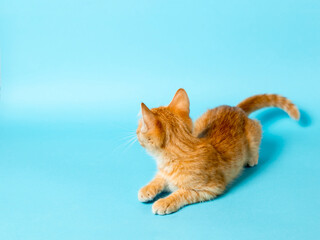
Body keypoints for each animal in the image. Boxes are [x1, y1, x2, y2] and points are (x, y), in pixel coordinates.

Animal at [136, 88, 300, 216]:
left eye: (138, 128)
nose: (135, 132)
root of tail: (235, 108)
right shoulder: (164, 173)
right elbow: (159, 178)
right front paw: (147, 189)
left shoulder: (212, 188)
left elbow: (184, 192)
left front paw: (165, 202)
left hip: (254, 133)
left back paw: (252, 158)